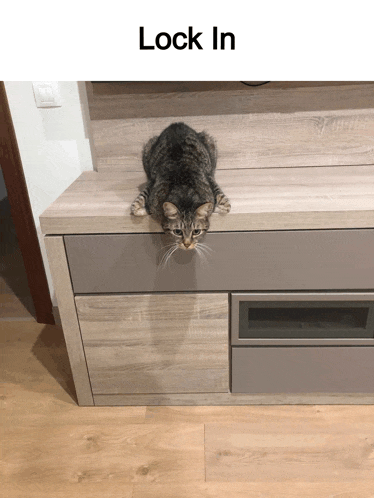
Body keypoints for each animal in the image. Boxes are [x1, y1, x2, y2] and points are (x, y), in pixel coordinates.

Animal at [131, 120, 231, 253]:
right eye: (178, 232)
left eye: (196, 232)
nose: (187, 244)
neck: (184, 192)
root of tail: (177, 123)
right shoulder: (153, 182)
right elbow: (140, 198)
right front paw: (139, 208)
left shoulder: (208, 178)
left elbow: (219, 193)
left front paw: (224, 205)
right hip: (148, 147)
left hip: (210, 143)